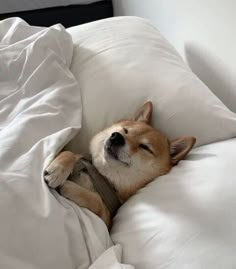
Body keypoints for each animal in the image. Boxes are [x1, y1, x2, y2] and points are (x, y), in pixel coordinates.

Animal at [44, 101, 195, 227]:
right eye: (125, 130)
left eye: (145, 147)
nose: (116, 136)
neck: (103, 177)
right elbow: (69, 153)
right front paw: (57, 170)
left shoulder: (107, 219)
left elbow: (97, 201)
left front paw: (70, 188)